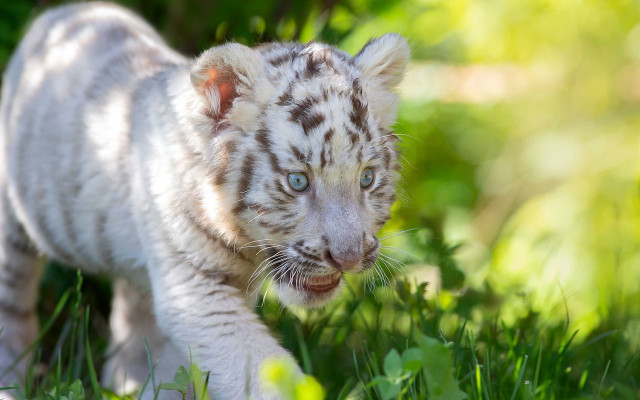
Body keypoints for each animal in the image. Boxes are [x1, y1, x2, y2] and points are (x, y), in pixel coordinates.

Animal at [0, 2, 408, 399]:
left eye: (367, 178)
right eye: (298, 182)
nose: (348, 258)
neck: (242, 240)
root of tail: (61, 13)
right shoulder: (196, 288)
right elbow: (261, 374)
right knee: (12, 304)